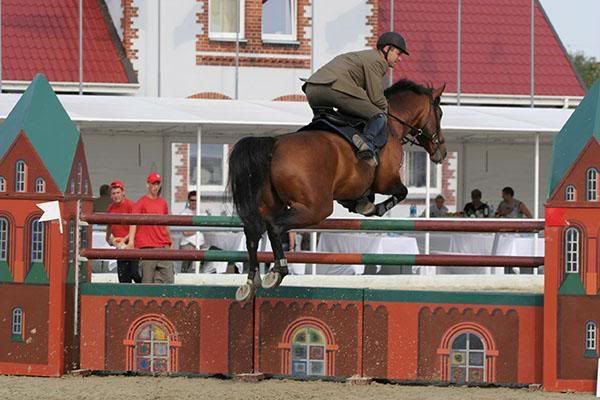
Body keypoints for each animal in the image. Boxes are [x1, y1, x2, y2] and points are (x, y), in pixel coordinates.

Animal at [229, 80, 446, 300]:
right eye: (440, 113)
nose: (442, 153)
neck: (392, 126)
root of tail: (274, 145)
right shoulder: (387, 181)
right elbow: (402, 192)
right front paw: (373, 208)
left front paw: (361, 204)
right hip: (316, 208)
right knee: (274, 227)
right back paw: (277, 272)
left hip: (271, 204)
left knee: (253, 233)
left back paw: (251, 283)